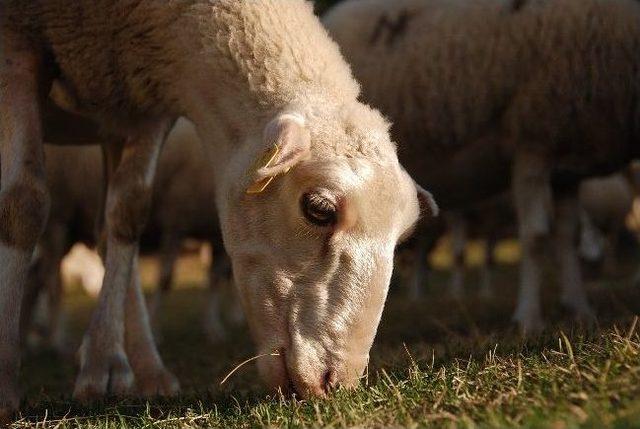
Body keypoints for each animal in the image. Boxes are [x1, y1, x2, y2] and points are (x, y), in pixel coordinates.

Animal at [0, 0, 432, 412]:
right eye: (319, 209)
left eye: (402, 237)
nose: (336, 384)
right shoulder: (17, 44)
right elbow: (24, 203)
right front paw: (10, 384)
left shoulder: (144, 99)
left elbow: (129, 213)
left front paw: (106, 364)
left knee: (108, 231)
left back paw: (147, 369)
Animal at [324, 0, 640, 332]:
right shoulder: (531, 142)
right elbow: (536, 238)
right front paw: (529, 319)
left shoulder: (566, 165)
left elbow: (567, 236)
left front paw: (580, 309)